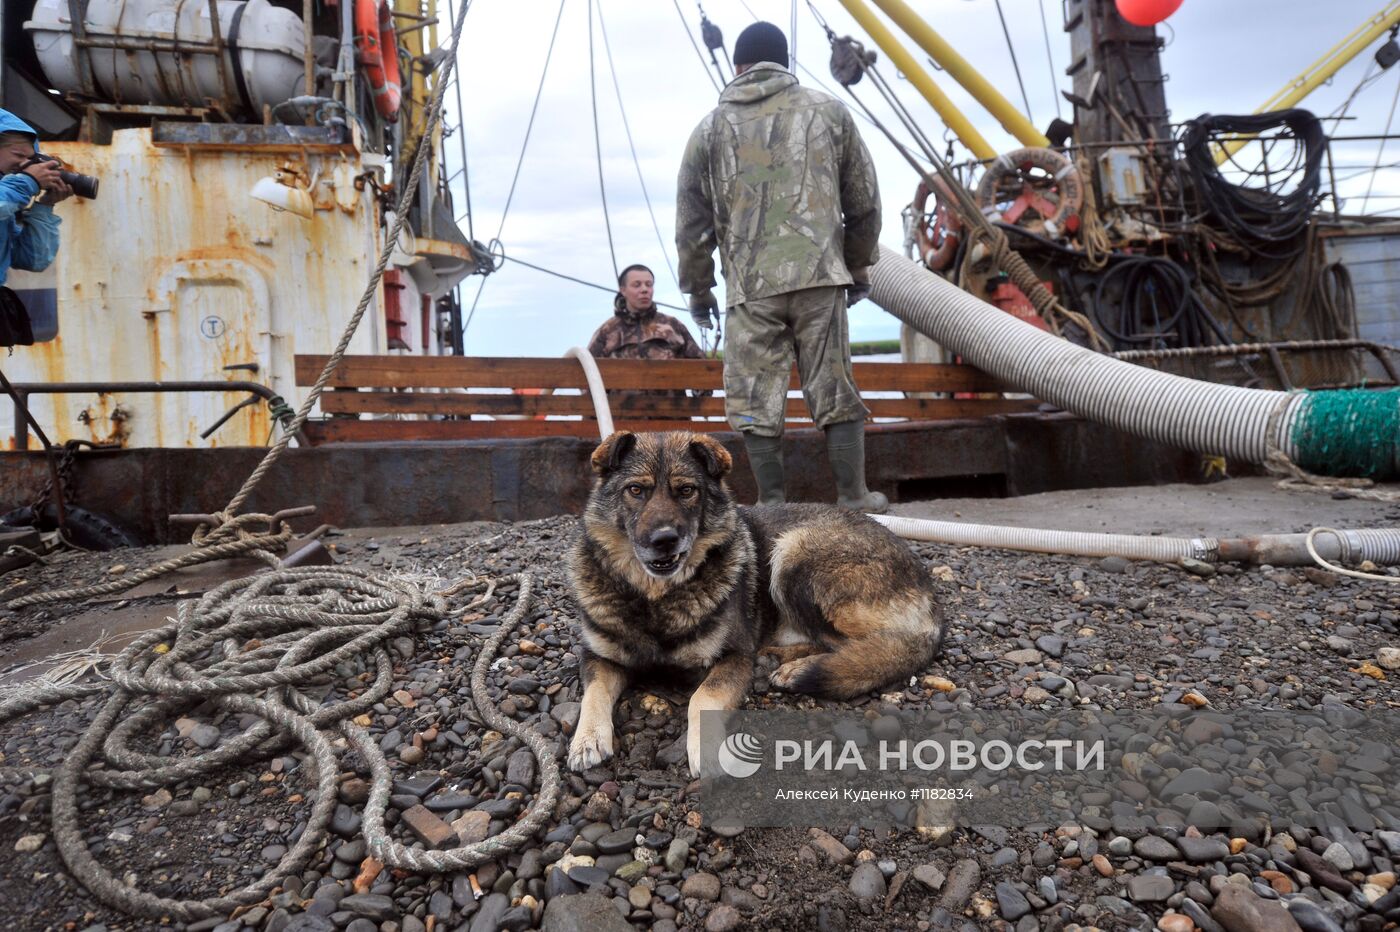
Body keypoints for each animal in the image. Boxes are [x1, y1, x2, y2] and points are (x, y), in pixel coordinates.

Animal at [568, 431, 952, 772]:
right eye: (636, 490)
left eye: (687, 491)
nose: (665, 541)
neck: (656, 598)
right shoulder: (599, 658)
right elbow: (593, 693)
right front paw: (586, 739)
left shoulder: (735, 658)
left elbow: (702, 698)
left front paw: (705, 750)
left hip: (795, 552)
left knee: (863, 648)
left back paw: (794, 665)